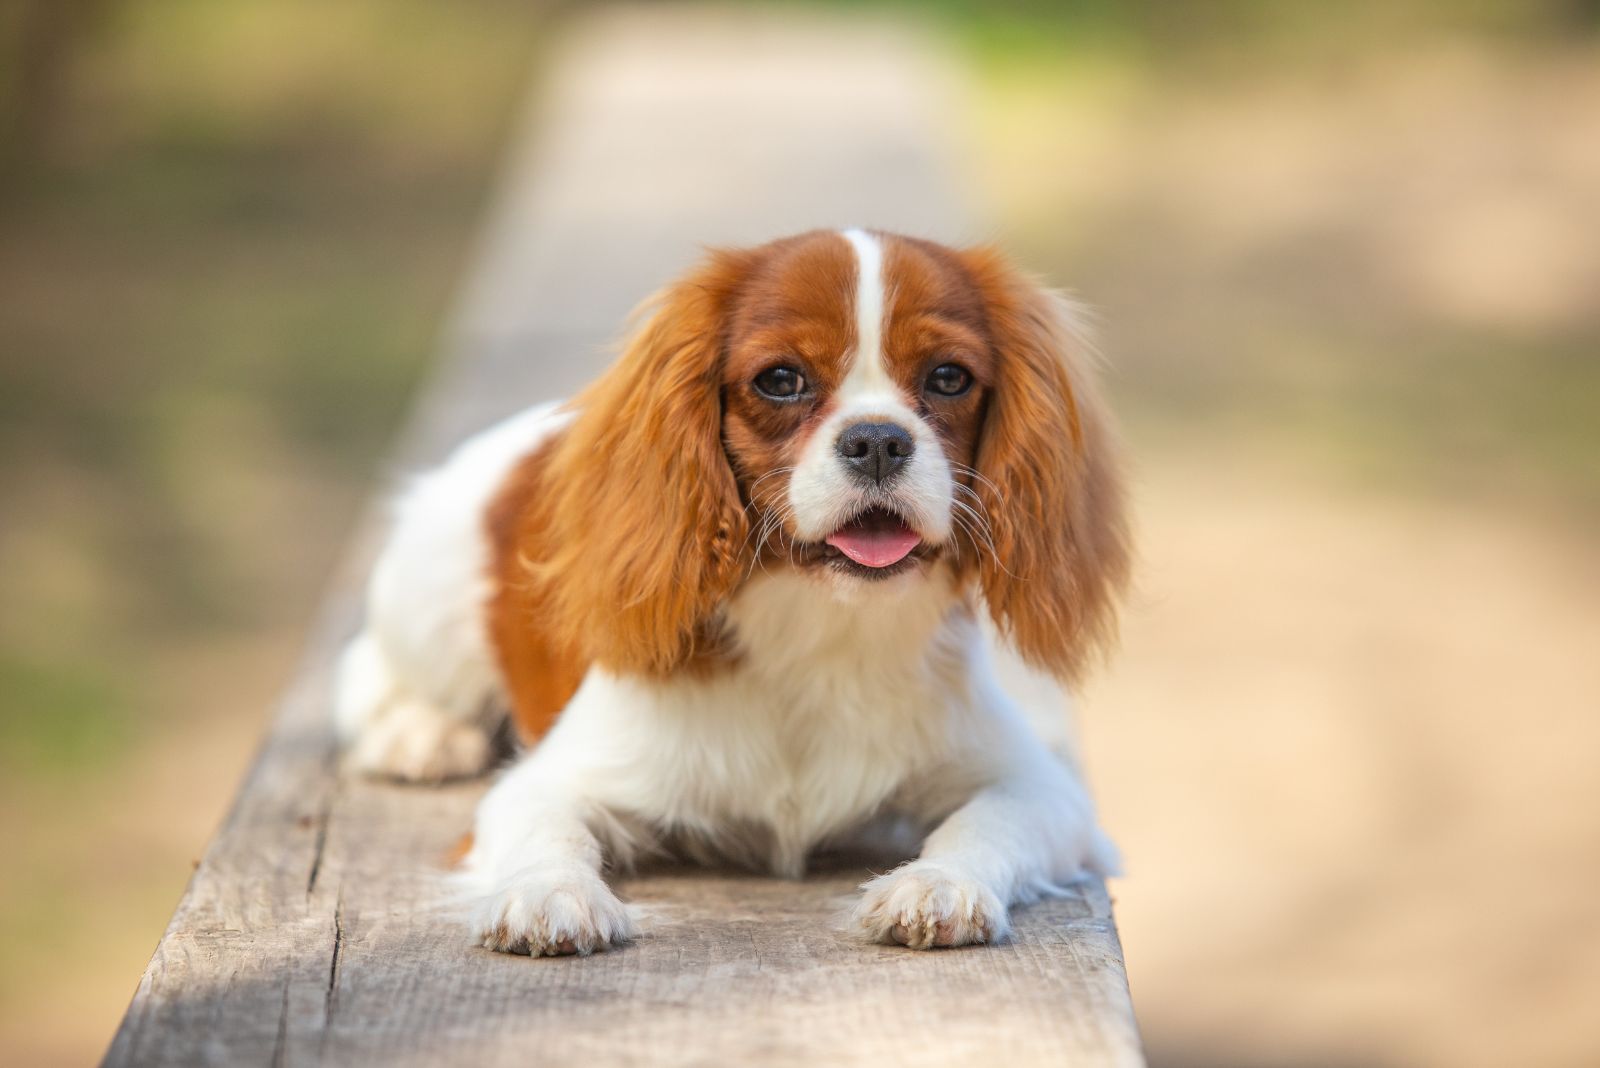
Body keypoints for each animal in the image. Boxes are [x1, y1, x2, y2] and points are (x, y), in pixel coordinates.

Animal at [332, 230, 1132, 952]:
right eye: (780, 380)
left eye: (948, 378)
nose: (878, 440)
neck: (822, 621)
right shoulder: (546, 781)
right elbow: (544, 830)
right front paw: (549, 895)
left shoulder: (1040, 788)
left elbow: (986, 821)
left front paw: (937, 884)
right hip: (428, 604)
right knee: (369, 672)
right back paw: (422, 734)